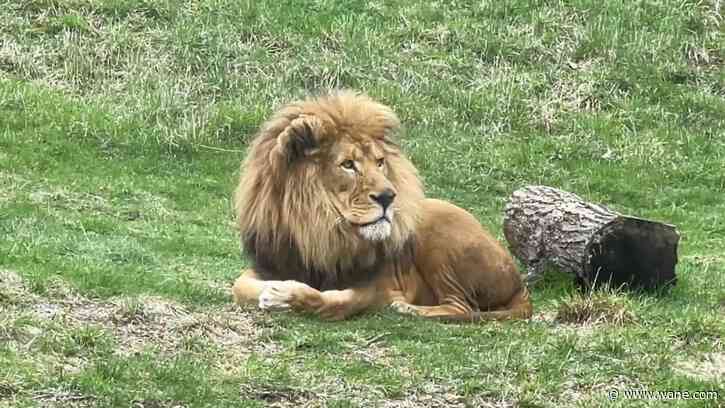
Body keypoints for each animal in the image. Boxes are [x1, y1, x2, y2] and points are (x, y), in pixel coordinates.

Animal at [231, 90, 532, 322]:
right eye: (348, 165)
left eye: (379, 162)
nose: (389, 196)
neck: (320, 230)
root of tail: (520, 285)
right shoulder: (268, 265)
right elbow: (239, 286)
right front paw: (275, 290)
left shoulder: (379, 286)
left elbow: (337, 302)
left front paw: (289, 296)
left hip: (439, 234)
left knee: (461, 307)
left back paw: (410, 309)